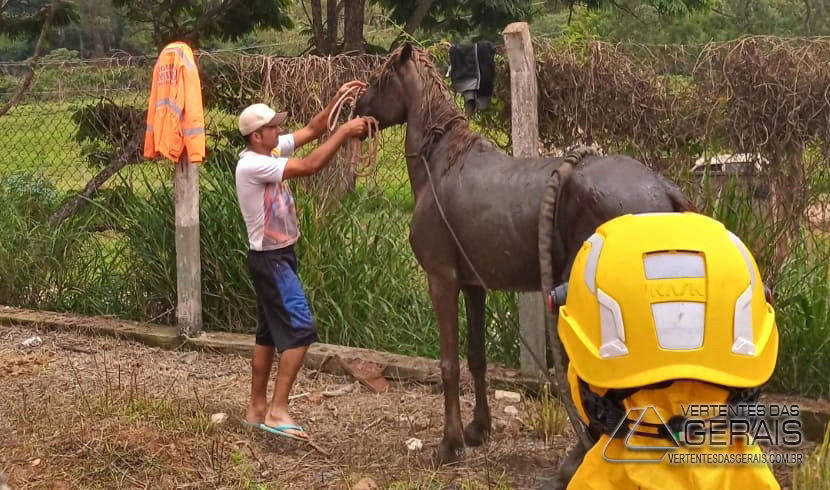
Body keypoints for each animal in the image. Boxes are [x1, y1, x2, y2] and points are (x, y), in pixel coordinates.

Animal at [354, 43, 693, 465]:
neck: (441, 165)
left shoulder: (442, 280)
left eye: (379, 78)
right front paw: (477, 430)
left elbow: (449, 364)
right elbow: (476, 358)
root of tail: (664, 190)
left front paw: (450, 444)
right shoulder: (473, 285)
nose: (356, 106)